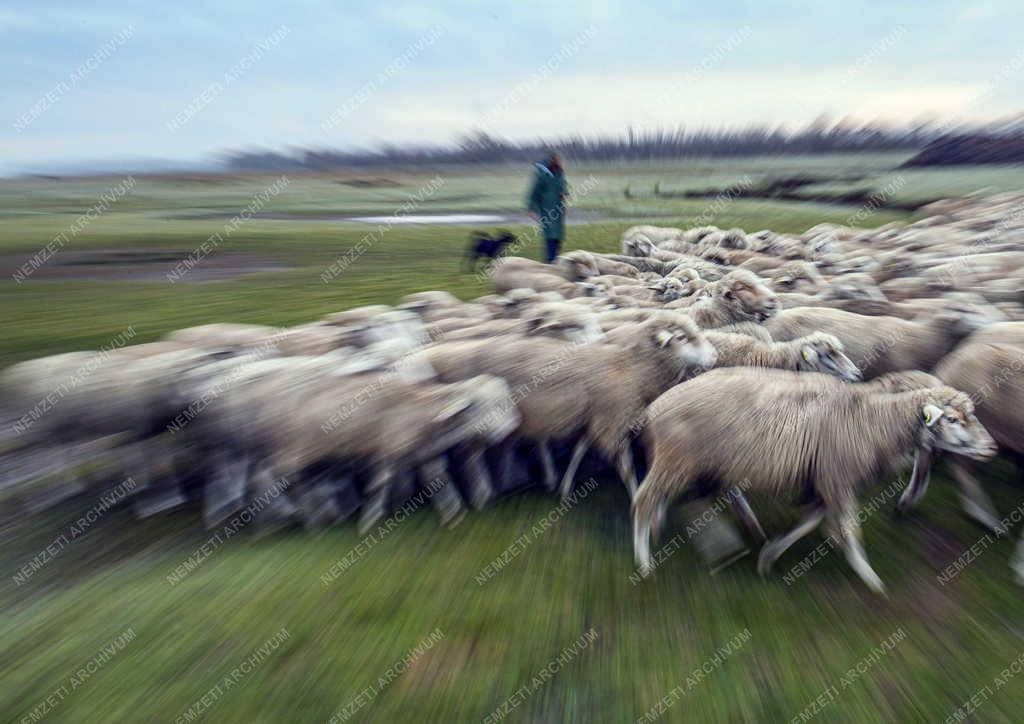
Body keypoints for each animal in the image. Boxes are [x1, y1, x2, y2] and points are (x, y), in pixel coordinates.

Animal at [634, 370, 995, 593]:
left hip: (688, 463)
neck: (871, 419)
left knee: (662, 499)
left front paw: (770, 556)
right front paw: (869, 577)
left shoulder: (826, 480)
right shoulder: (837, 478)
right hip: (676, 460)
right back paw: (645, 563)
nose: (991, 447)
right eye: (952, 419)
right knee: (643, 500)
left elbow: (811, 520)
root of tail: (653, 409)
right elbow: (850, 528)